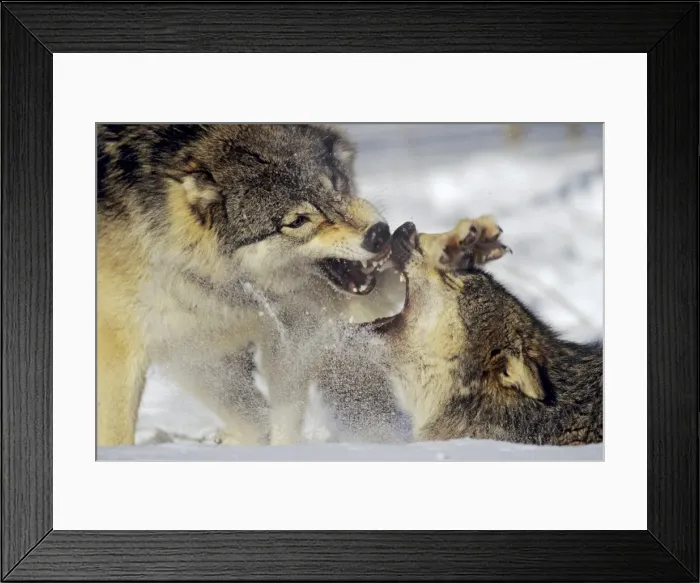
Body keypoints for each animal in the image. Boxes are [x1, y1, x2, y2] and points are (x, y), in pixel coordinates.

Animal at [97, 123, 405, 447]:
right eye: (298, 221)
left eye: (335, 185)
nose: (379, 234)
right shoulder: (133, 345)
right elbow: (116, 432)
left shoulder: (284, 331)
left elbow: (277, 417)